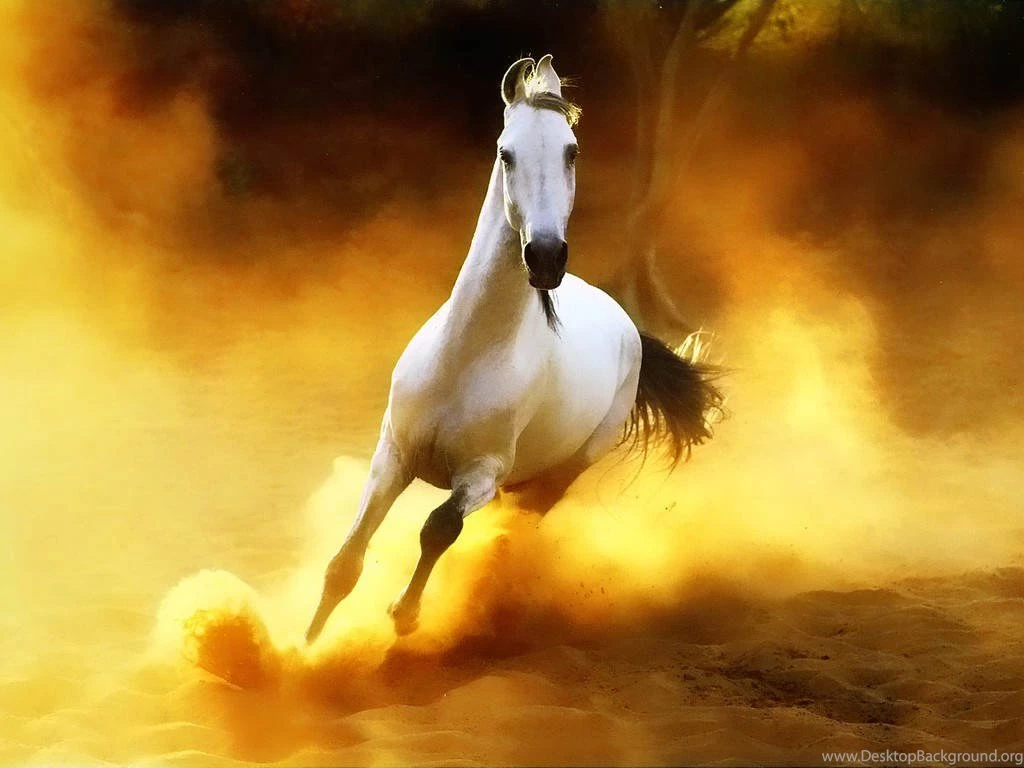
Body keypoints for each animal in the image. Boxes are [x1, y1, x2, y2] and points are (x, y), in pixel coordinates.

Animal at [305, 55, 722, 643]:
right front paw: (303, 647)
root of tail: (627, 325)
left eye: (572, 150)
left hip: (559, 474)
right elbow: (346, 562)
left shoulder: (484, 472)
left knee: (516, 526)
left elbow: (439, 527)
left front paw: (403, 616)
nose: (545, 256)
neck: (466, 358)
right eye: (506, 152)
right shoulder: (393, 453)